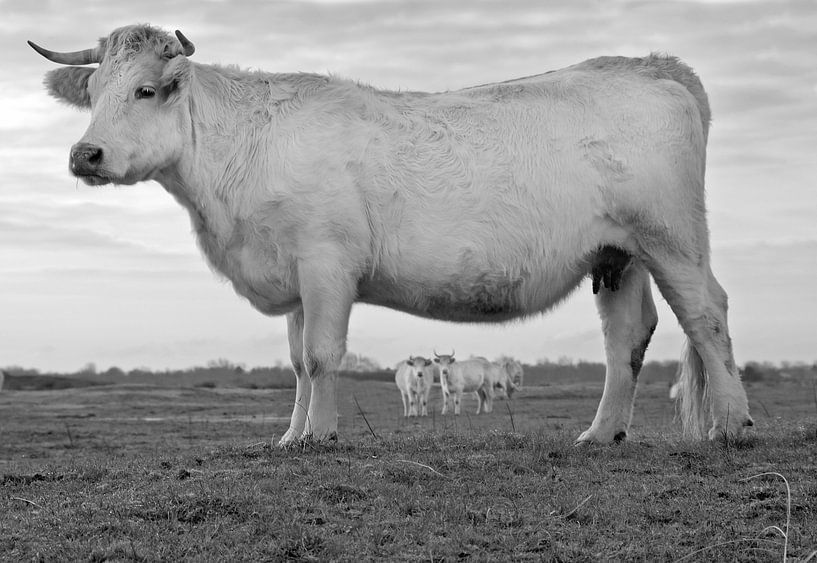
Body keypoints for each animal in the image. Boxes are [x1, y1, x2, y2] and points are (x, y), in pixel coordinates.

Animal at [33, 23, 752, 446]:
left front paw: (317, 438)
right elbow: (297, 361)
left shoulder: (326, 263)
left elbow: (323, 355)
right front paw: (291, 436)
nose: (85, 154)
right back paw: (600, 435)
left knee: (707, 315)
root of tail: (649, 63)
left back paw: (735, 424)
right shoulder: (293, 276)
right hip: (617, 254)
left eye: (147, 89)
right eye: (93, 91)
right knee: (625, 338)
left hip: (672, 239)